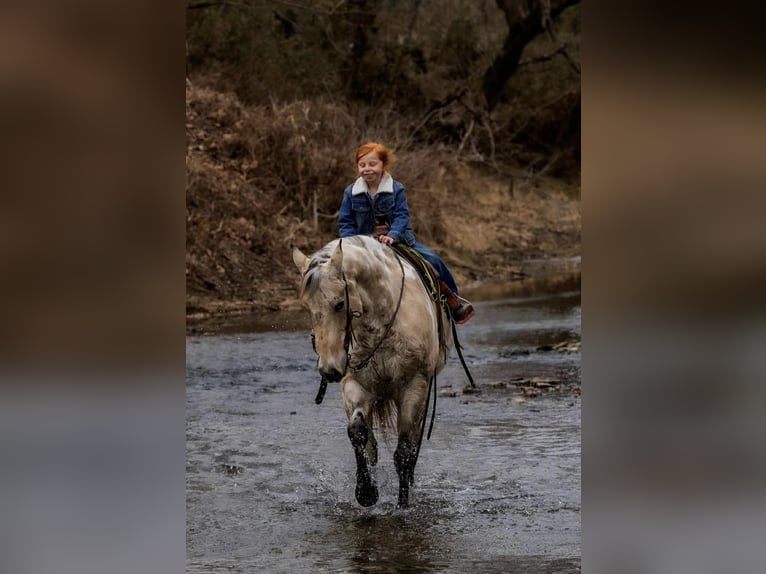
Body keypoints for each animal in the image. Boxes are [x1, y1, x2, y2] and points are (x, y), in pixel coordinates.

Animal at [292, 235, 451, 507]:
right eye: (307, 307)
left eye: (339, 304)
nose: (329, 370)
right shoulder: (354, 384)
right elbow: (359, 434)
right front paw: (366, 492)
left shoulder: (414, 387)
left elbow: (404, 452)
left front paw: (402, 505)